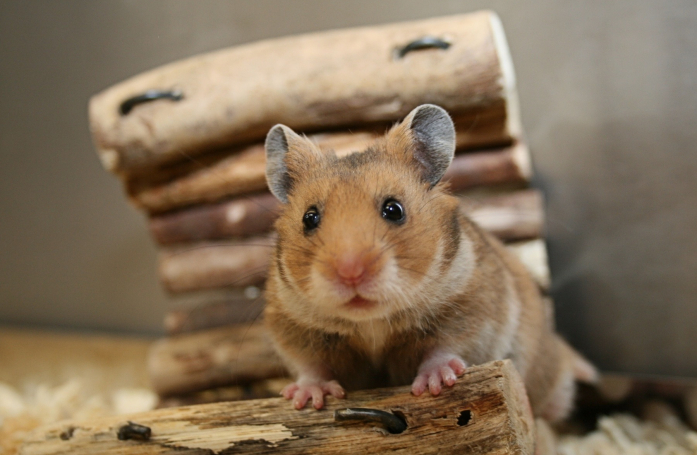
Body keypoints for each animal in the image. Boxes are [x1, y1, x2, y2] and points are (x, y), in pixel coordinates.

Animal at [263, 104, 597, 421]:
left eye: (394, 210)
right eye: (309, 218)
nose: (350, 273)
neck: (372, 323)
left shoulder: (472, 308)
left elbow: (446, 347)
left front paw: (436, 384)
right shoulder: (292, 325)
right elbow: (311, 366)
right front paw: (306, 398)